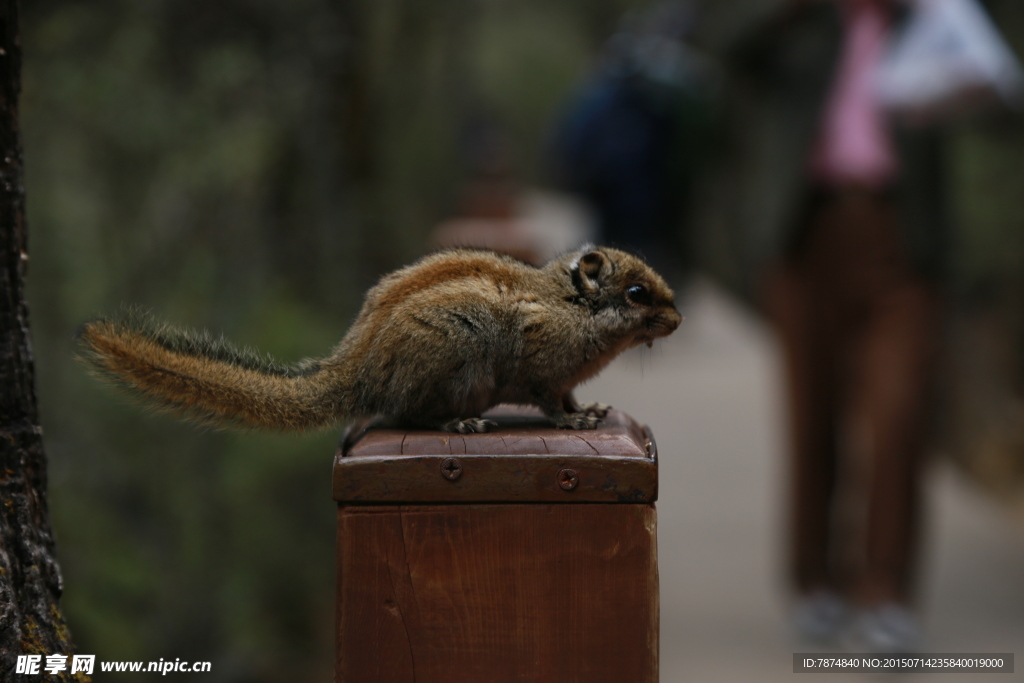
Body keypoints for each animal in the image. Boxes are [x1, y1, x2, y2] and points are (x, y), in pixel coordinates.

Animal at [77, 245, 679, 438]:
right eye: (637, 292)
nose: (678, 319)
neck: (568, 305)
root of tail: (356, 373)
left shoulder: (564, 377)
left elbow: (572, 396)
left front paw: (589, 409)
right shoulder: (541, 367)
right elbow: (551, 403)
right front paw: (571, 422)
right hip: (452, 363)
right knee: (408, 414)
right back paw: (457, 423)